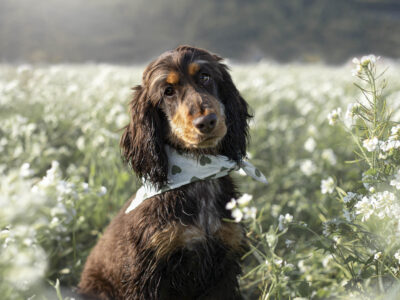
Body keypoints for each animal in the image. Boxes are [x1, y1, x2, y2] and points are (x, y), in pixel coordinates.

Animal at [78, 45, 260, 300]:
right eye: (168, 91)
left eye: (205, 77)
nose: (207, 121)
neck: (199, 174)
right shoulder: (148, 272)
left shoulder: (224, 264)